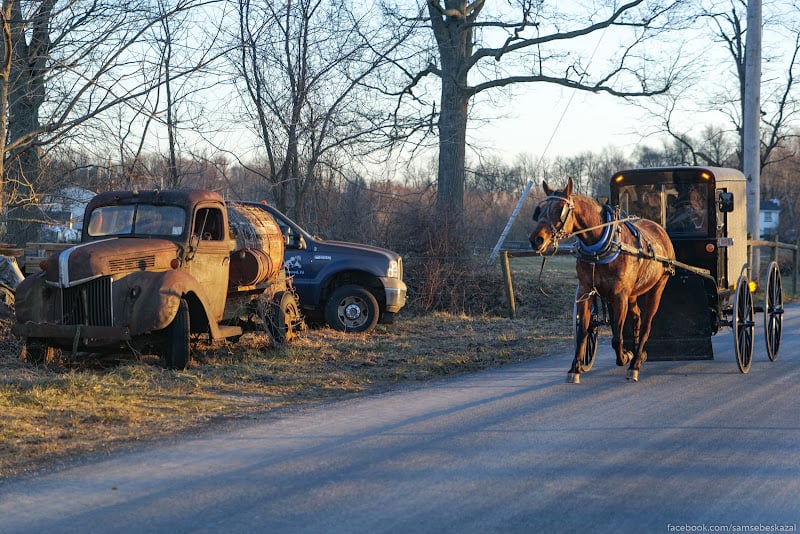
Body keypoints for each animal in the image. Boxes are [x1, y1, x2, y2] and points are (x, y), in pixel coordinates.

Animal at [532, 180, 676, 386]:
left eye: (560, 209)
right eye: (541, 210)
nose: (536, 239)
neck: (599, 246)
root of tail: (660, 230)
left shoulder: (619, 296)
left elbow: (617, 336)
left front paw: (625, 356)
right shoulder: (585, 292)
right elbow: (583, 332)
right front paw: (575, 369)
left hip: (657, 287)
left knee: (647, 324)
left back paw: (635, 364)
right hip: (632, 294)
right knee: (637, 317)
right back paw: (638, 355)